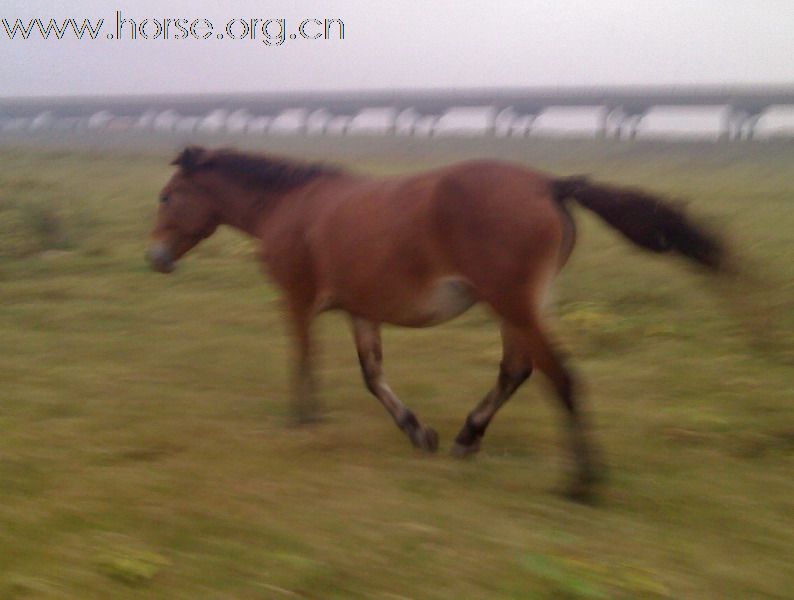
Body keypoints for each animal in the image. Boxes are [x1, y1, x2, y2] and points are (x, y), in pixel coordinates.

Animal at [147, 146, 724, 502]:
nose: (154, 259)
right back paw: (468, 438)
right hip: (517, 308)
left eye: (167, 196)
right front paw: (418, 431)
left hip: (514, 304)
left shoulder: (297, 300)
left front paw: (302, 421)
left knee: (559, 377)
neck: (290, 207)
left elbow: (304, 359)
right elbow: (373, 376)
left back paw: (581, 483)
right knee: (517, 370)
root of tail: (548, 185)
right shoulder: (362, 311)